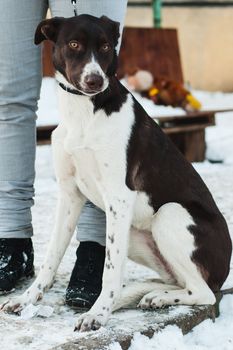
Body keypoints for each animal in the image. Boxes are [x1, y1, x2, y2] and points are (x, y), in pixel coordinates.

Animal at [1, 14, 231, 330]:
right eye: (74, 44)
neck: (84, 112)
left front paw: (98, 314)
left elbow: (110, 269)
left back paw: (153, 298)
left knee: (204, 292)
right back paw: (153, 295)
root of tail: (225, 271)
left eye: (106, 47)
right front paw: (27, 299)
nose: (95, 80)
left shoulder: (119, 197)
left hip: (169, 213)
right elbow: (52, 256)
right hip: (134, 234)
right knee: (179, 282)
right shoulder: (70, 196)